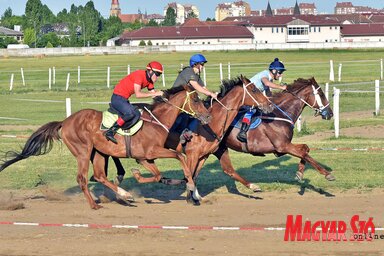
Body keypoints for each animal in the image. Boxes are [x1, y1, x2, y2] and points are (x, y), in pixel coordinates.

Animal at [0, 85, 210, 209]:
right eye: (196, 100)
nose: (207, 116)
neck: (158, 121)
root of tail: (65, 121)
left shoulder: (144, 158)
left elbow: (159, 174)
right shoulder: (151, 152)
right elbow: (179, 157)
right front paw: (190, 185)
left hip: (99, 152)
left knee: (99, 175)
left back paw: (123, 195)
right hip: (83, 152)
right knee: (83, 178)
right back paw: (97, 204)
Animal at [131, 74, 272, 204]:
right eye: (254, 89)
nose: (269, 104)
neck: (210, 124)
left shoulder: (204, 155)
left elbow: (195, 175)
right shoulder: (192, 154)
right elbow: (190, 173)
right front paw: (190, 197)